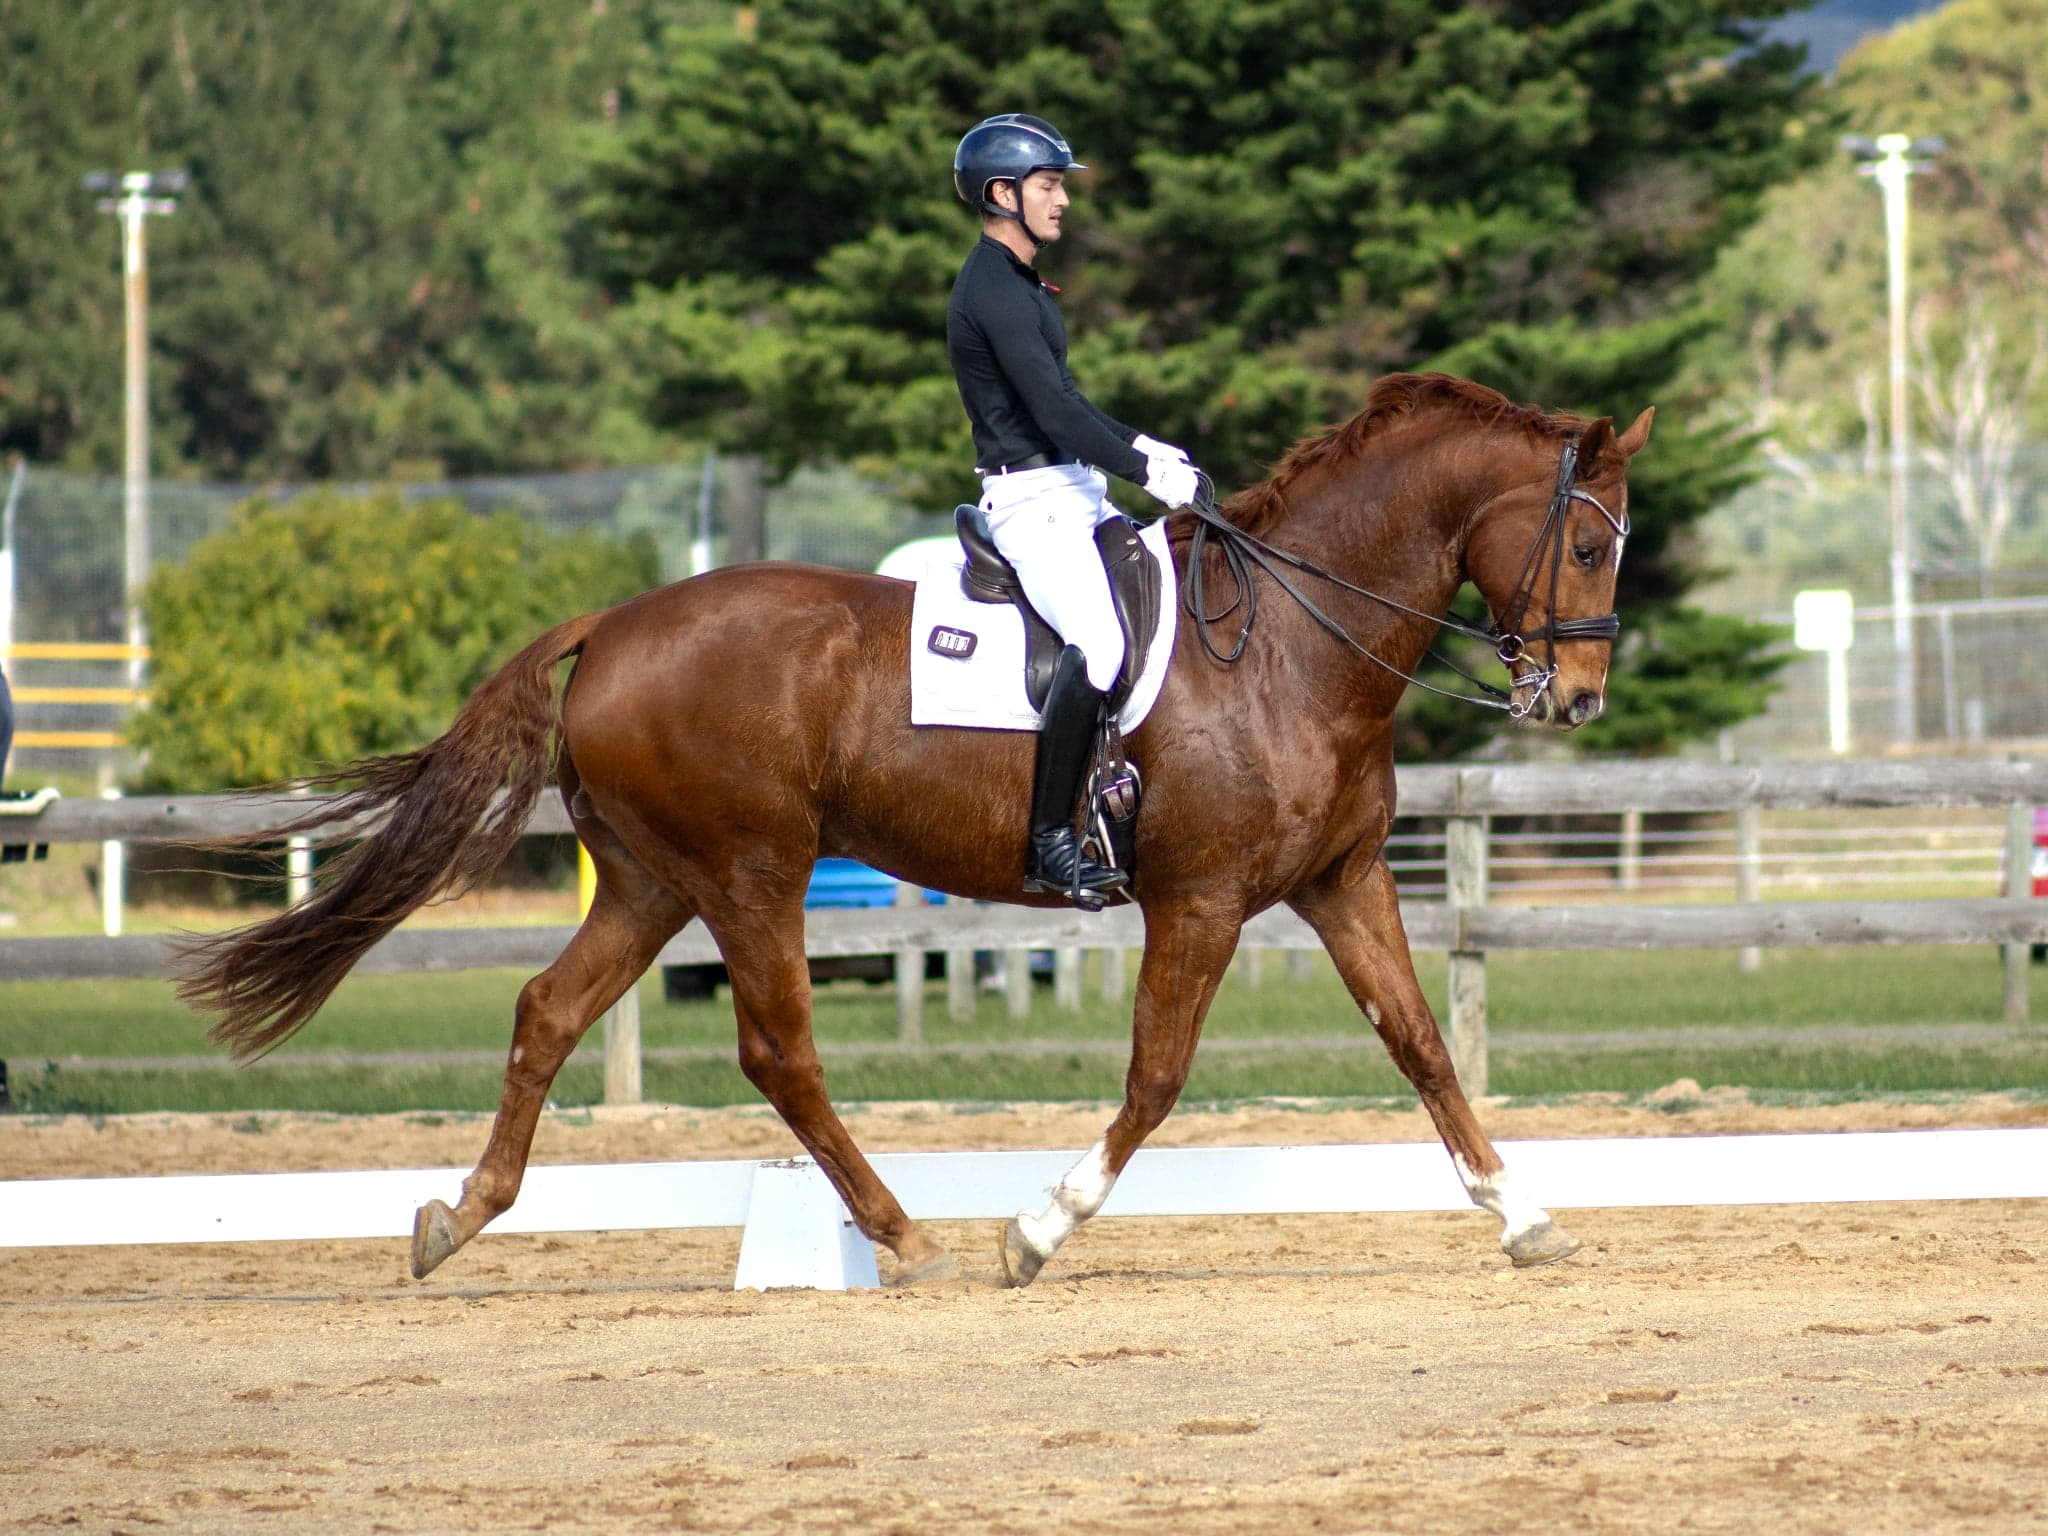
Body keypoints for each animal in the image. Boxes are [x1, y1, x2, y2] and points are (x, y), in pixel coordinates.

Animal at [178, 371, 1652, 1288]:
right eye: (1589, 545)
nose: (1575, 696)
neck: (1291, 645)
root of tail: (617, 622)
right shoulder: (1201, 900)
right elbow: (1156, 1076)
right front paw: (1037, 1233)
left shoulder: (1340, 881)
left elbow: (1420, 1044)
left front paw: (1525, 1218)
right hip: (752, 871)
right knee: (779, 1051)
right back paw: (901, 1234)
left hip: (654, 879)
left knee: (549, 1010)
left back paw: (459, 1218)